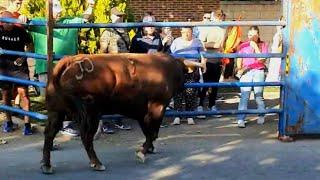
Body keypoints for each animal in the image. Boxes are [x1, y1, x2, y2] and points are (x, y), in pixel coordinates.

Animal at [40, 52, 186, 174]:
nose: (183, 87)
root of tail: (71, 60)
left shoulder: (141, 112)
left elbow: (148, 132)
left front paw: (149, 149)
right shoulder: (157, 107)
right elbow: (152, 134)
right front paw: (142, 152)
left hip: (56, 111)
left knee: (49, 134)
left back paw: (46, 165)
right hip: (91, 114)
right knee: (86, 136)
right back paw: (97, 163)